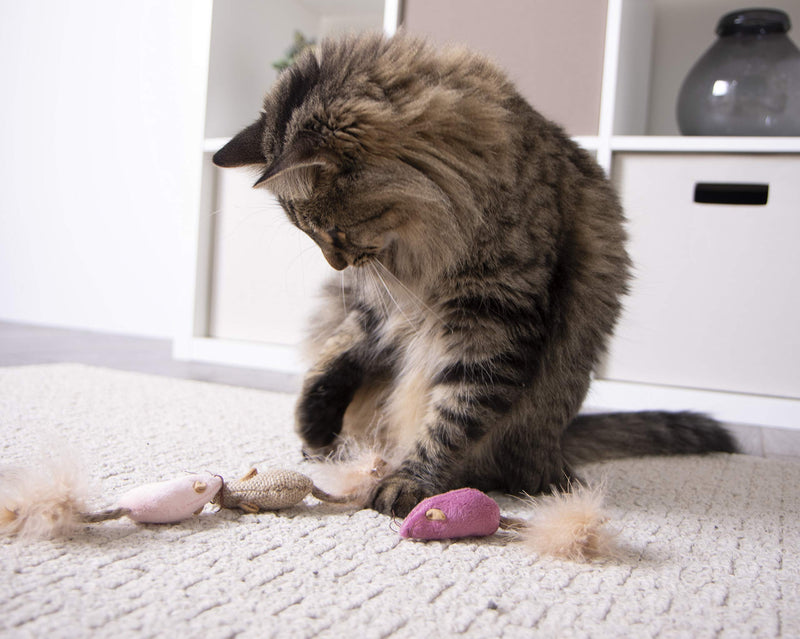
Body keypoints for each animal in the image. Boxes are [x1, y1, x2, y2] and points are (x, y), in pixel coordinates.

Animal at [212, 32, 736, 516]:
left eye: (330, 230)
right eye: (308, 234)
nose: (336, 266)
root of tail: (556, 447)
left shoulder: (493, 320)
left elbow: (453, 415)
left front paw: (410, 481)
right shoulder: (382, 303)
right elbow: (341, 347)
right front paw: (313, 418)